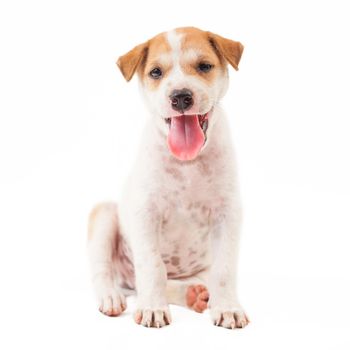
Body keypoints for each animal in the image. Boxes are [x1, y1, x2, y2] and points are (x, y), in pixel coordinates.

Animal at [88, 26, 249, 328]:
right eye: (155, 72)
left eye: (204, 66)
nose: (181, 97)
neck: (188, 163)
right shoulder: (145, 213)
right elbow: (153, 266)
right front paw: (153, 308)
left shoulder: (227, 214)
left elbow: (224, 269)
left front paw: (227, 308)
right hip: (104, 215)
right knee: (106, 271)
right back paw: (112, 298)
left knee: (188, 280)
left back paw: (195, 295)